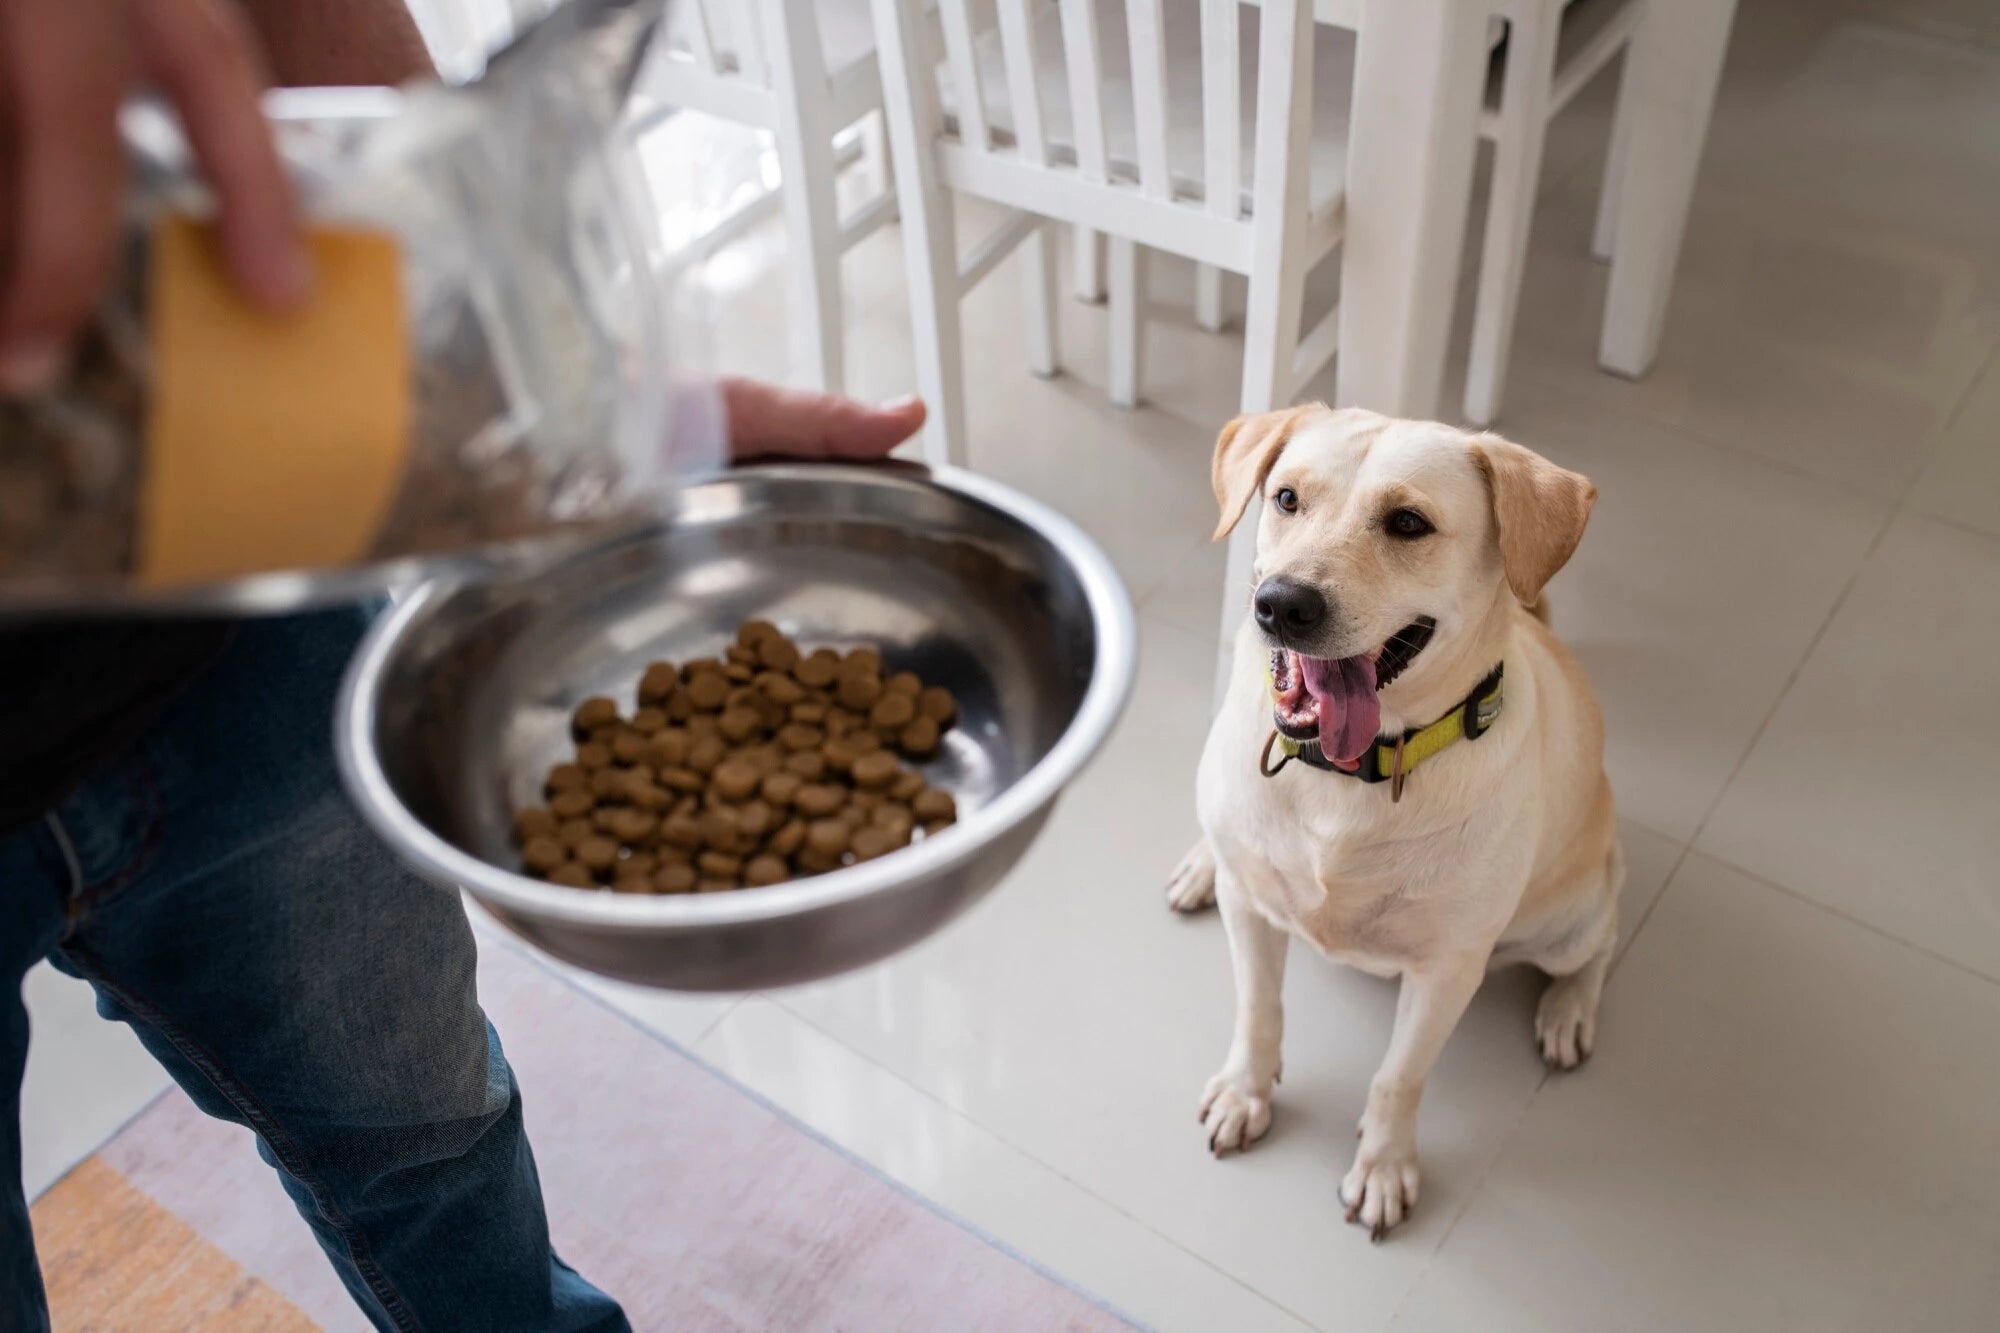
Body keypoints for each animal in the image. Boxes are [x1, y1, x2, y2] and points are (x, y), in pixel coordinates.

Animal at [1168, 402, 1616, 1232]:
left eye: (1409, 522)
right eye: (1286, 497)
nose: (1282, 603)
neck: (1346, 777)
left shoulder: (1447, 970)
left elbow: (1398, 1076)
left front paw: (1382, 1166)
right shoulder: (1251, 912)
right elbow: (1258, 1009)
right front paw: (1247, 1092)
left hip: (1567, 918)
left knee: (1599, 944)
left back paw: (1569, 1009)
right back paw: (1201, 863)